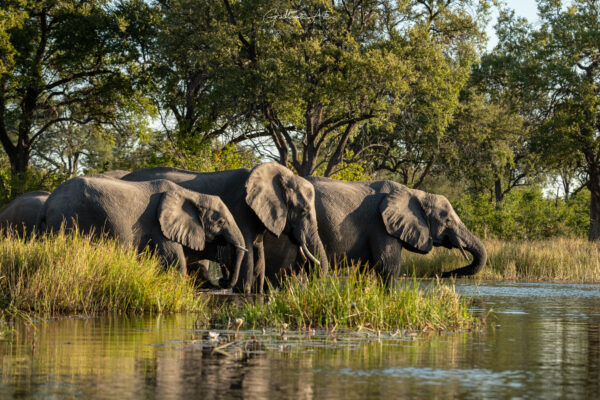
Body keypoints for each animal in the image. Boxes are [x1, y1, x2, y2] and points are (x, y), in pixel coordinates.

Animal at [43, 175, 247, 288]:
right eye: (220, 221)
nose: (222, 281)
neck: (192, 194)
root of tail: (48, 201)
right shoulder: (159, 228)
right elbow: (175, 266)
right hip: (70, 220)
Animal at [122, 162, 328, 294]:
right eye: (303, 210)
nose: (222, 279)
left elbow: (259, 258)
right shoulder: (241, 209)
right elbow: (248, 259)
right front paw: (243, 292)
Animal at [264, 177, 488, 284]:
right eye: (447, 219)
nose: (443, 274)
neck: (415, 193)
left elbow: (365, 270)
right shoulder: (381, 226)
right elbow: (388, 267)